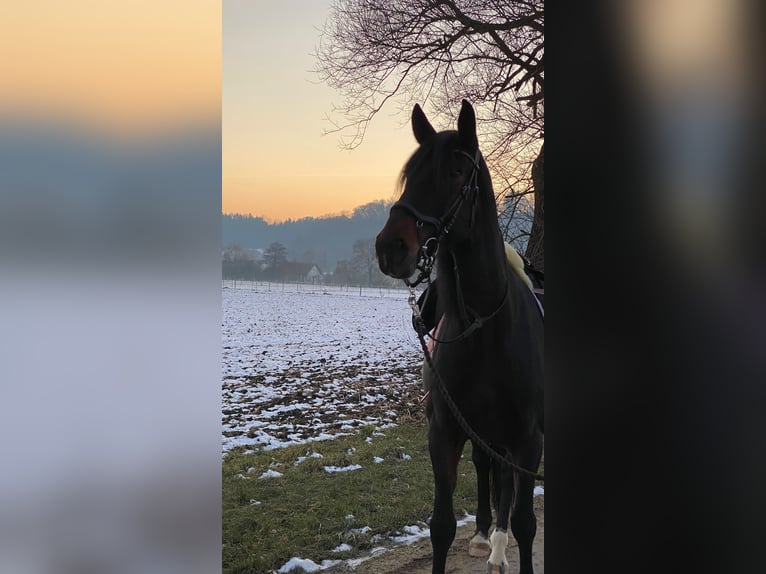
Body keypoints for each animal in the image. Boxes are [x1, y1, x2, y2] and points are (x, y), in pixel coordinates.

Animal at [376, 101, 544, 572]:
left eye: (454, 172)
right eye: (409, 175)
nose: (391, 247)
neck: (483, 324)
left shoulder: (528, 438)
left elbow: (526, 523)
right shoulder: (445, 432)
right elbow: (442, 527)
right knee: (490, 472)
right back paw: (488, 538)